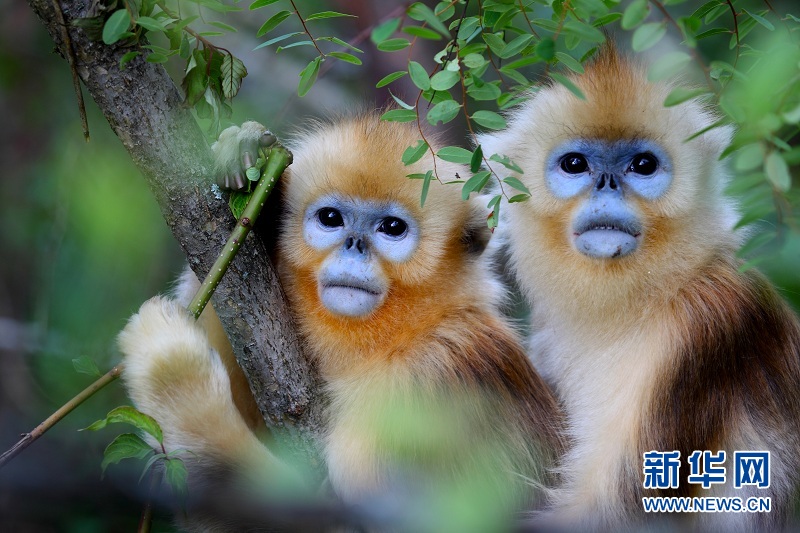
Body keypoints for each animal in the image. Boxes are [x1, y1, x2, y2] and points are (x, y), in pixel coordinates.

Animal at [122, 111, 564, 528]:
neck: (398, 339)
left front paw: (173, 370)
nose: (354, 245)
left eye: (392, 227)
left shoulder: (435, 380)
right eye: (331, 218)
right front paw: (255, 183)